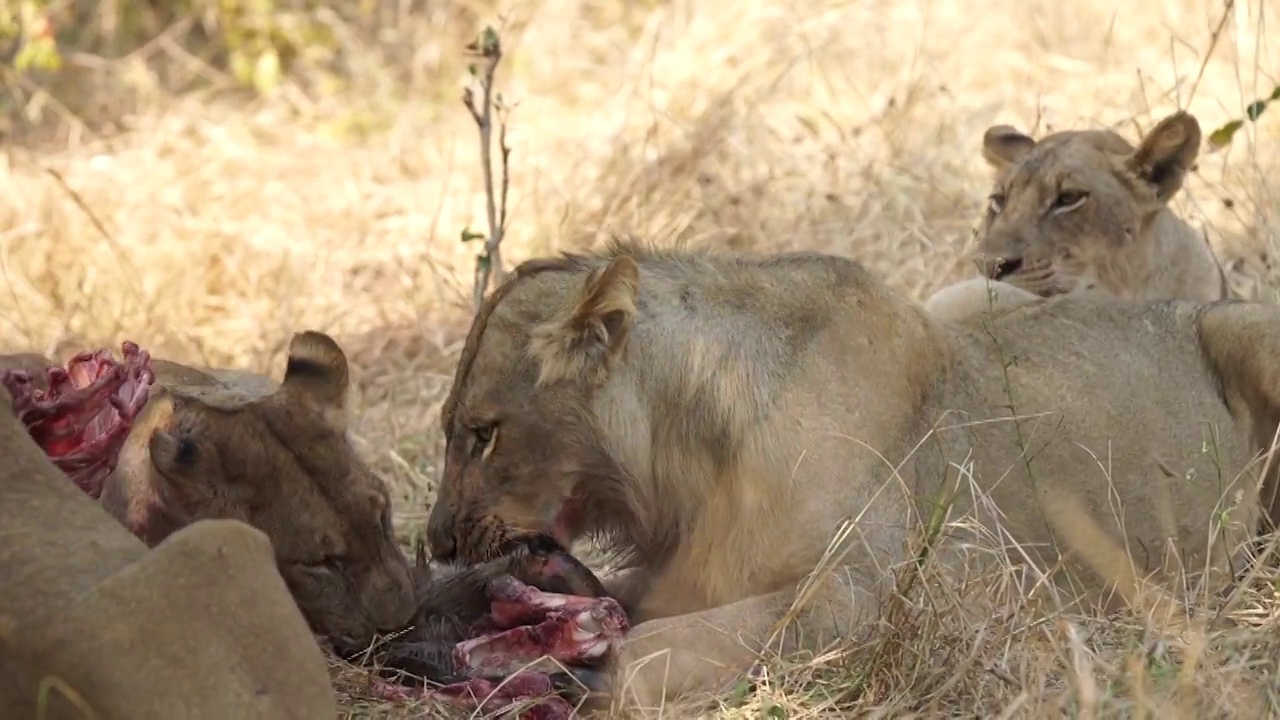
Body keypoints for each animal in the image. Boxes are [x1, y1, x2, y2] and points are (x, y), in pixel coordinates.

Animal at [424, 239, 1280, 707]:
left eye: (482, 435)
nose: (436, 544)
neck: (687, 468)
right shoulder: (683, 575)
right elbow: (632, 605)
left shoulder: (898, 595)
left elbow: (673, 644)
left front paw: (591, 677)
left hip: (1248, 329)